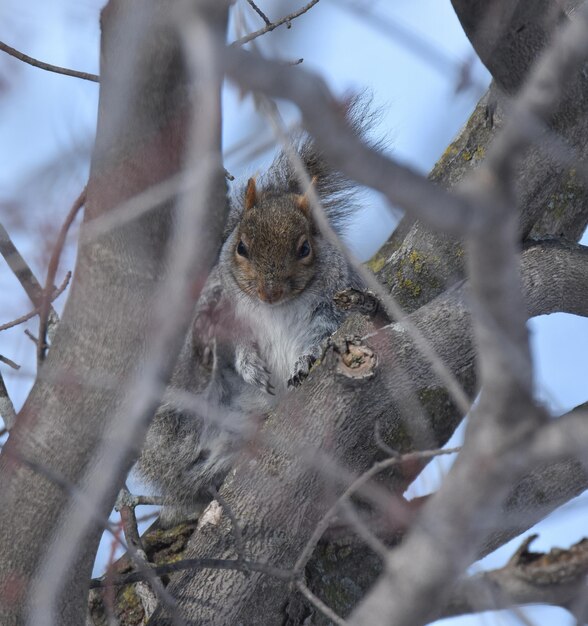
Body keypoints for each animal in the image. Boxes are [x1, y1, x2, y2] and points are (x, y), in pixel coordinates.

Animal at [137, 97, 372, 524]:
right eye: (241, 247)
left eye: (304, 247)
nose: (268, 291)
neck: (276, 308)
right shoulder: (232, 312)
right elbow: (240, 346)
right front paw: (250, 366)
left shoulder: (334, 302)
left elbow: (325, 333)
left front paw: (306, 359)